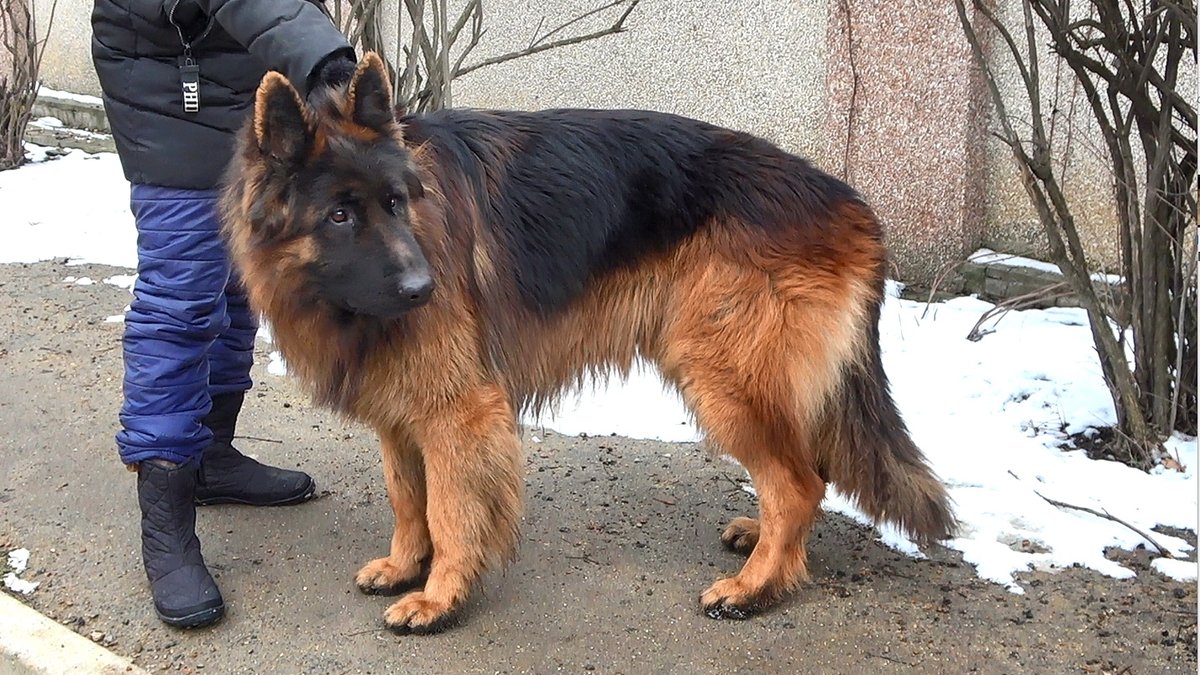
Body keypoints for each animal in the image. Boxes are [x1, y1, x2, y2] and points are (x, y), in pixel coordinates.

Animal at [218, 52, 956, 633]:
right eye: (340, 214)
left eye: (398, 203)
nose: (425, 288)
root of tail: (852, 203)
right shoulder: (403, 410)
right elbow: (409, 497)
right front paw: (406, 566)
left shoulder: (459, 412)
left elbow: (451, 509)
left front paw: (439, 597)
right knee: (805, 473)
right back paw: (761, 541)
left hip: (723, 378)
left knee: (799, 482)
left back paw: (756, 586)